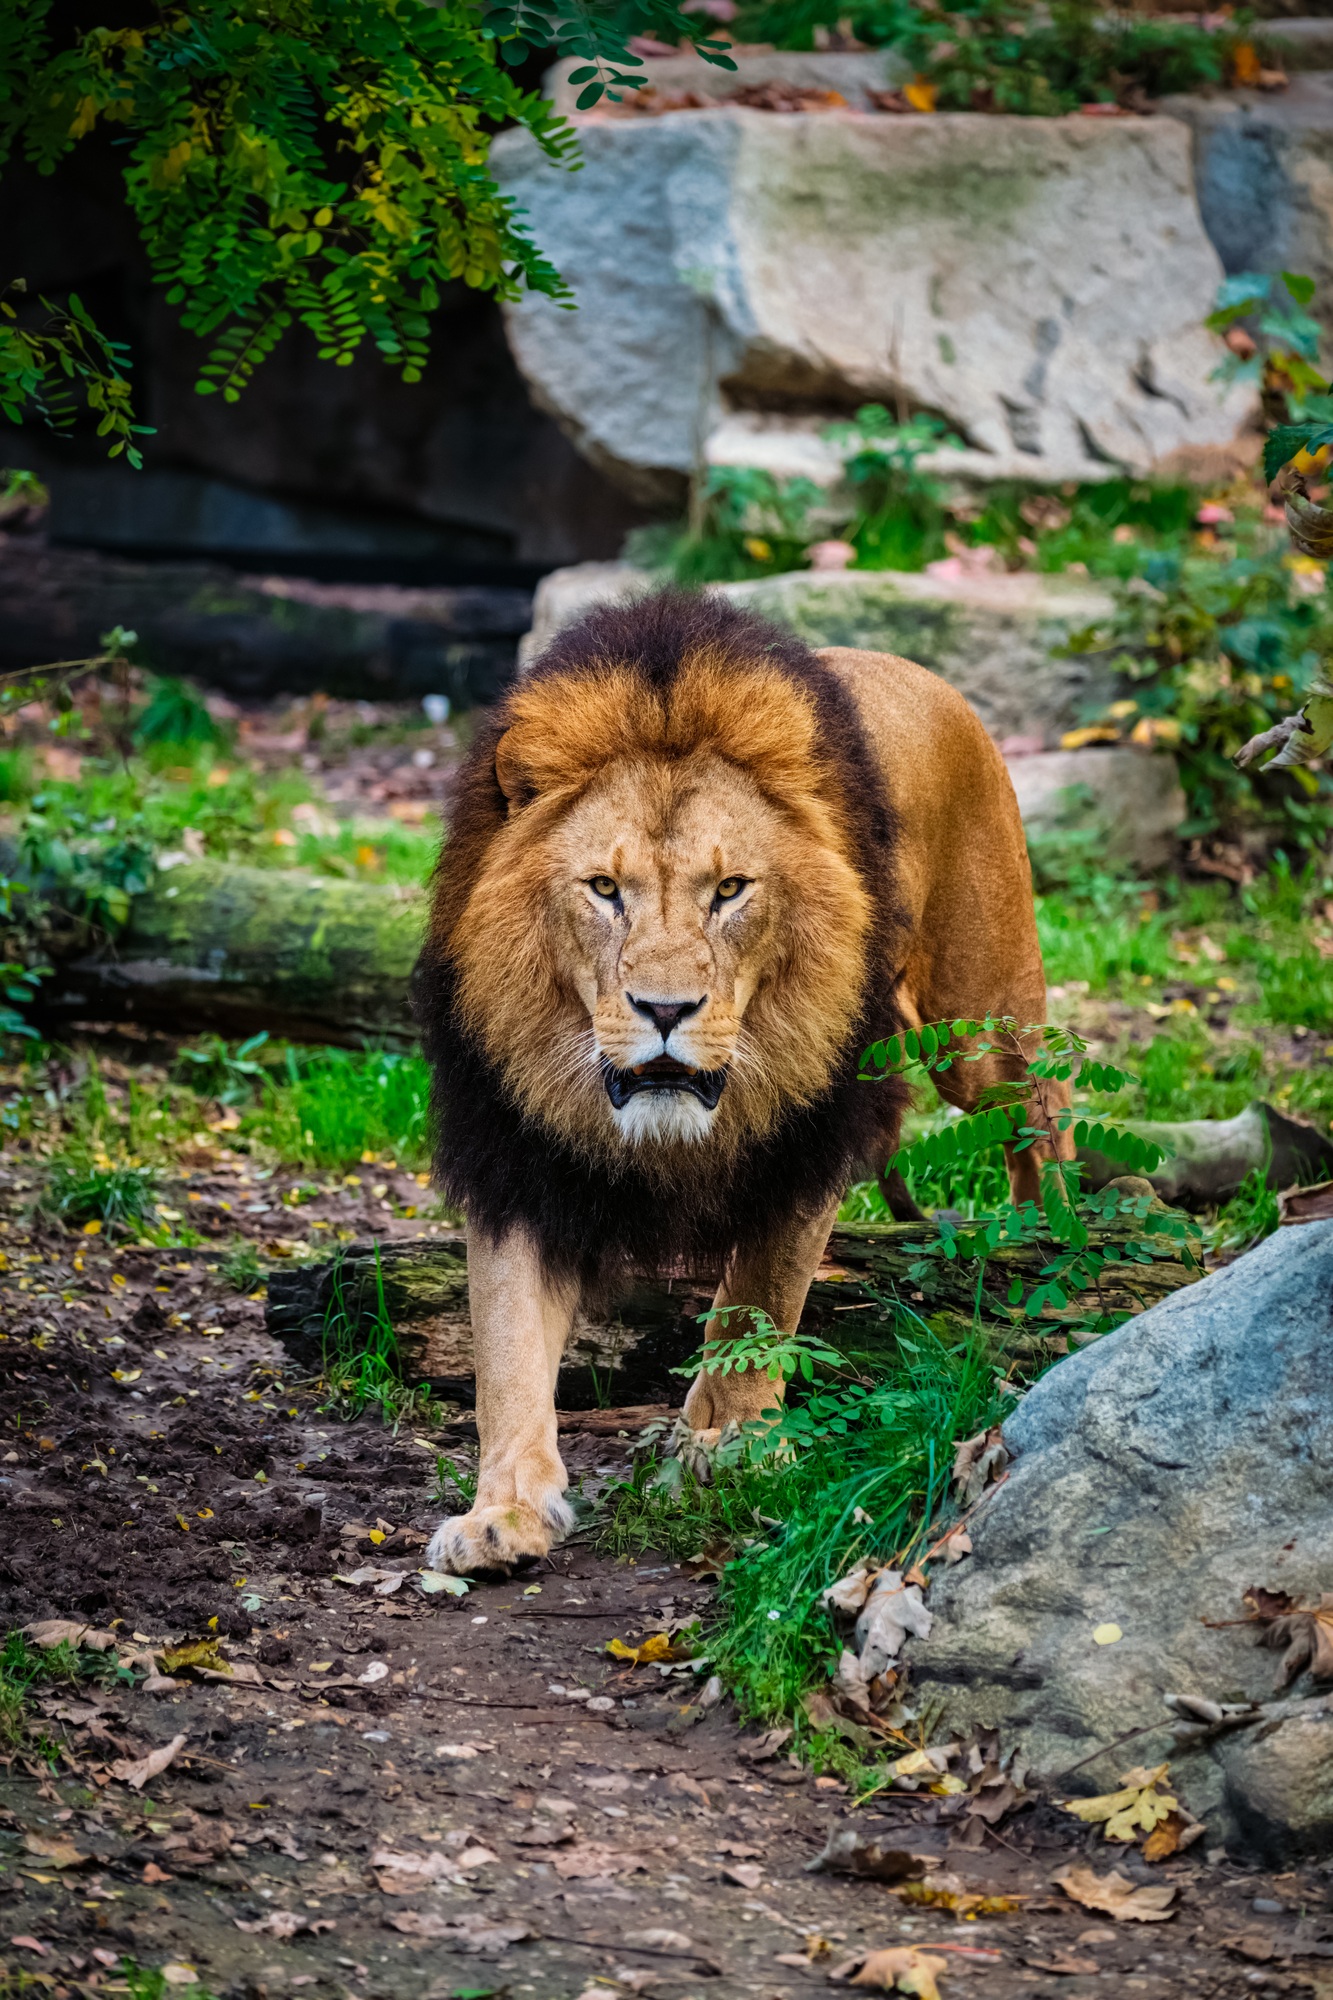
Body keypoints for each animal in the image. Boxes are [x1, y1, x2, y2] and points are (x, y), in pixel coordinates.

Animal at [416, 592, 1072, 1576]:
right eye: (603, 888)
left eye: (729, 889)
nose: (664, 1009)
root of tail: (921, 673)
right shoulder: (517, 1157)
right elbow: (506, 1344)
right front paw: (502, 1512)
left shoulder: (807, 1135)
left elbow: (757, 1300)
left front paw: (726, 1446)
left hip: (978, 1023)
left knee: (1044, 1105)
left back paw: (1067, 1235)